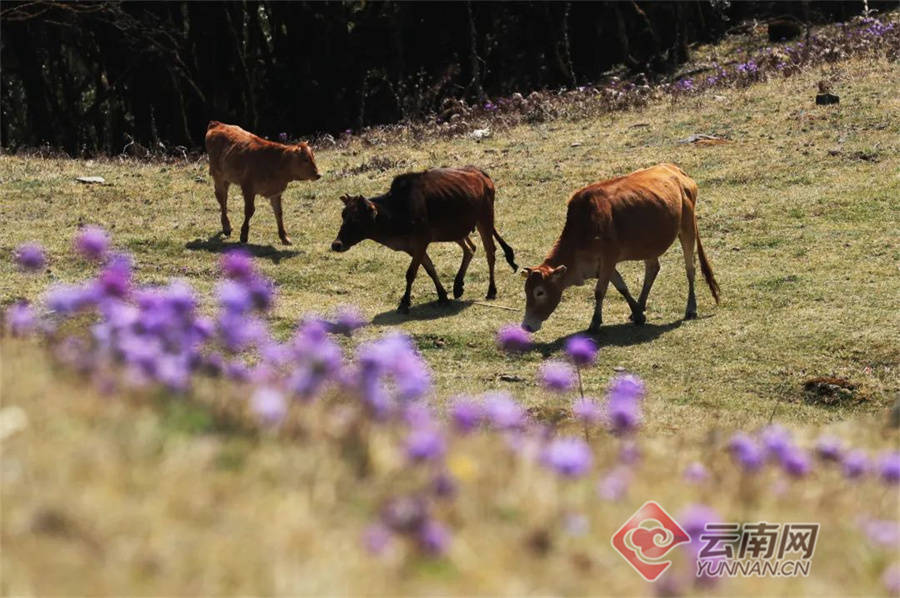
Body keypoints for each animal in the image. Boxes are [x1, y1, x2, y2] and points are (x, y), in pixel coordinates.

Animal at [330, 165, 516, 314]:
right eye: (343, 215)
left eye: (356, 219)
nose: (336, 244)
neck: (398, 210)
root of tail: (481, 174)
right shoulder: (413, 247)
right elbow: (430, 269)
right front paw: (442, 296)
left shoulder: (421, 242)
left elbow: (411, 273)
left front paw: (404, 303)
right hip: (457, 230)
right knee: (470, 248)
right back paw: (458, 286)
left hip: (484, 219)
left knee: (490, 252)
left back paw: (491, 291)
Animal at [520, 162, 716, 336]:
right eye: (526, 291)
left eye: (540, 292)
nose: (526, 326)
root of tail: (676, 171)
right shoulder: (604, 264)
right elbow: (622, 286)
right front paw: (637, 313)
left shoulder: (609, 257)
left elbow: (600, 291)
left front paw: (595, 322)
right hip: (649, 245)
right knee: (653, 268)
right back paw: (641, 304)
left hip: (687, 228)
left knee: (690, 268)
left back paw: (691, 309)